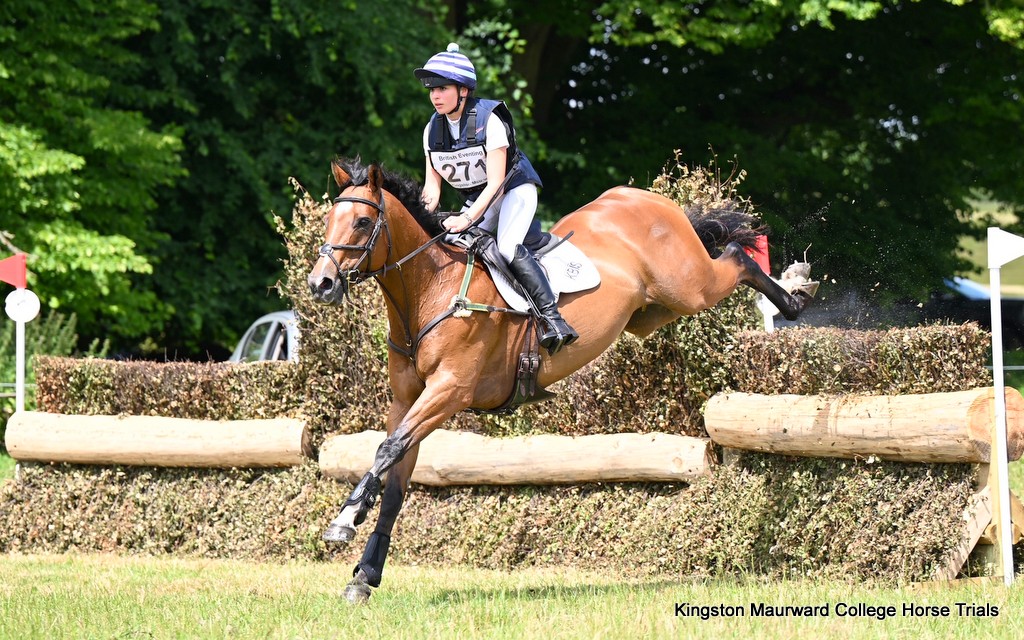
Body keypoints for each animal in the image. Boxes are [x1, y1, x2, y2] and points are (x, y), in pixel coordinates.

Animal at [307, 157, 814, 602]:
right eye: (330, 219)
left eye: (360, 223)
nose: (320, 284)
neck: (430, 289)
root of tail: (648, 198)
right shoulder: (406, 401)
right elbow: (394, 477)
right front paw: (365, 575)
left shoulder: (449, 390)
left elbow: (387, 450)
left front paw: (345, 518)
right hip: (652, 313)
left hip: (690, 287)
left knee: (735, 255)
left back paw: (794, 297)